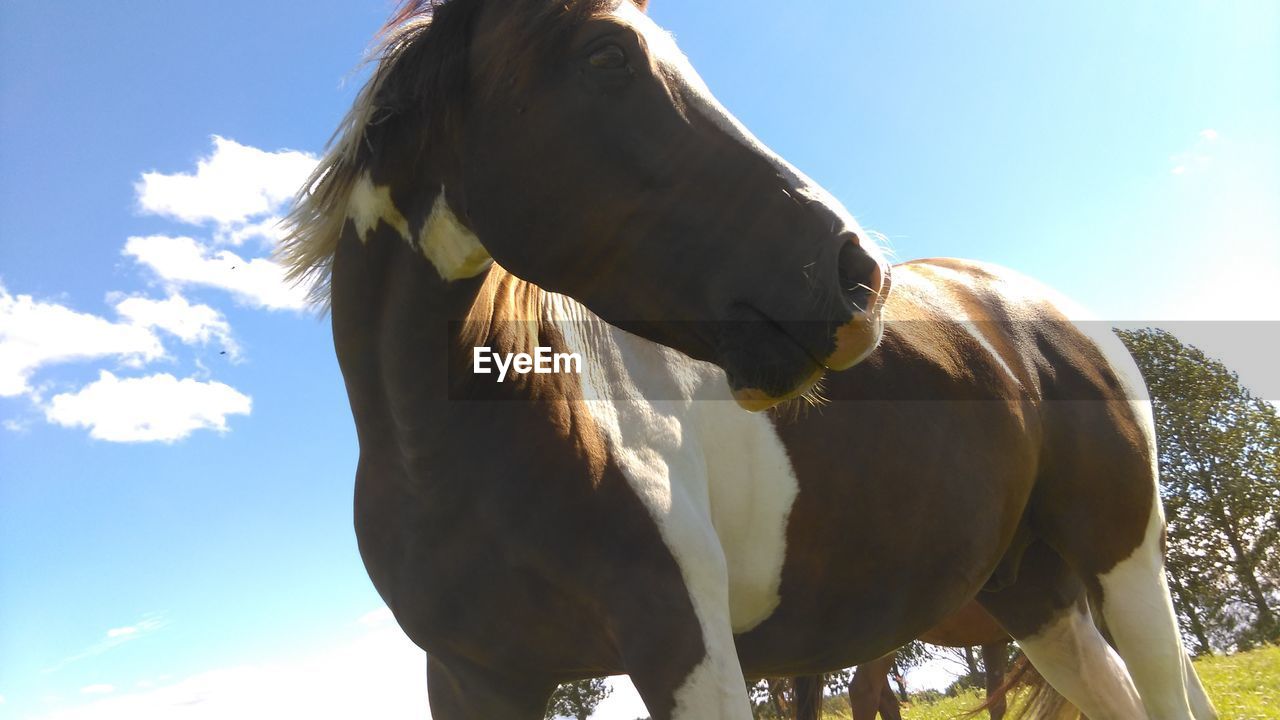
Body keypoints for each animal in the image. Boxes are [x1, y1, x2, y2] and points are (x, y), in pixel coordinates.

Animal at [282, 1, 1218, 717]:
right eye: (606, 55)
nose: (856, 275)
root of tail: (1057, 316)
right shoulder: (476, 679)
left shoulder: (684, 648)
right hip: (1037, 597)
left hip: (1126, 569)